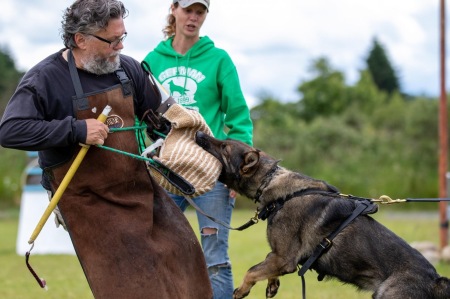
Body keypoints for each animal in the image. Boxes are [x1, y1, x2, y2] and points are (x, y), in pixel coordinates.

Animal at [194, 132, 450, 299]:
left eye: (224, 147)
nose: (199, 133)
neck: (270, 182)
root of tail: (435, 280)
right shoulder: (280, 256)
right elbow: (264, 263)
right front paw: (272, 283)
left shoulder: (284, 259)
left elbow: (251, 270)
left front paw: (242, 290)